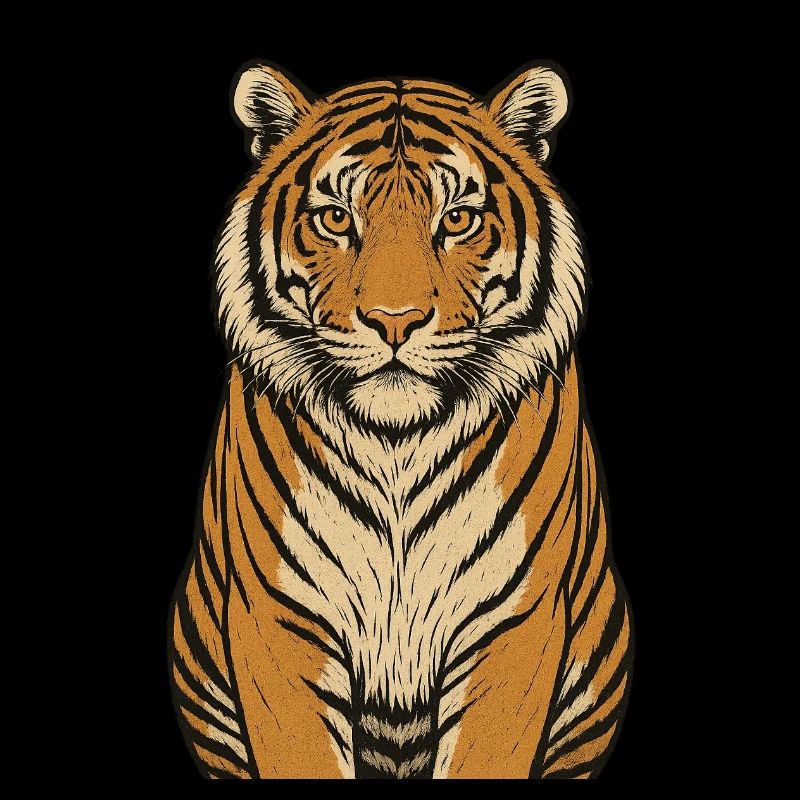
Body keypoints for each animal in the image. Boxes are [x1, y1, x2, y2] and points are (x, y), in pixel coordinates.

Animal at [169, 60, 633, 780]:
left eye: (459, 219)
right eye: (336, 219)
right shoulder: (281, 619)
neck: (397, 445)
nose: (394, 321)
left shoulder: (511, 623)